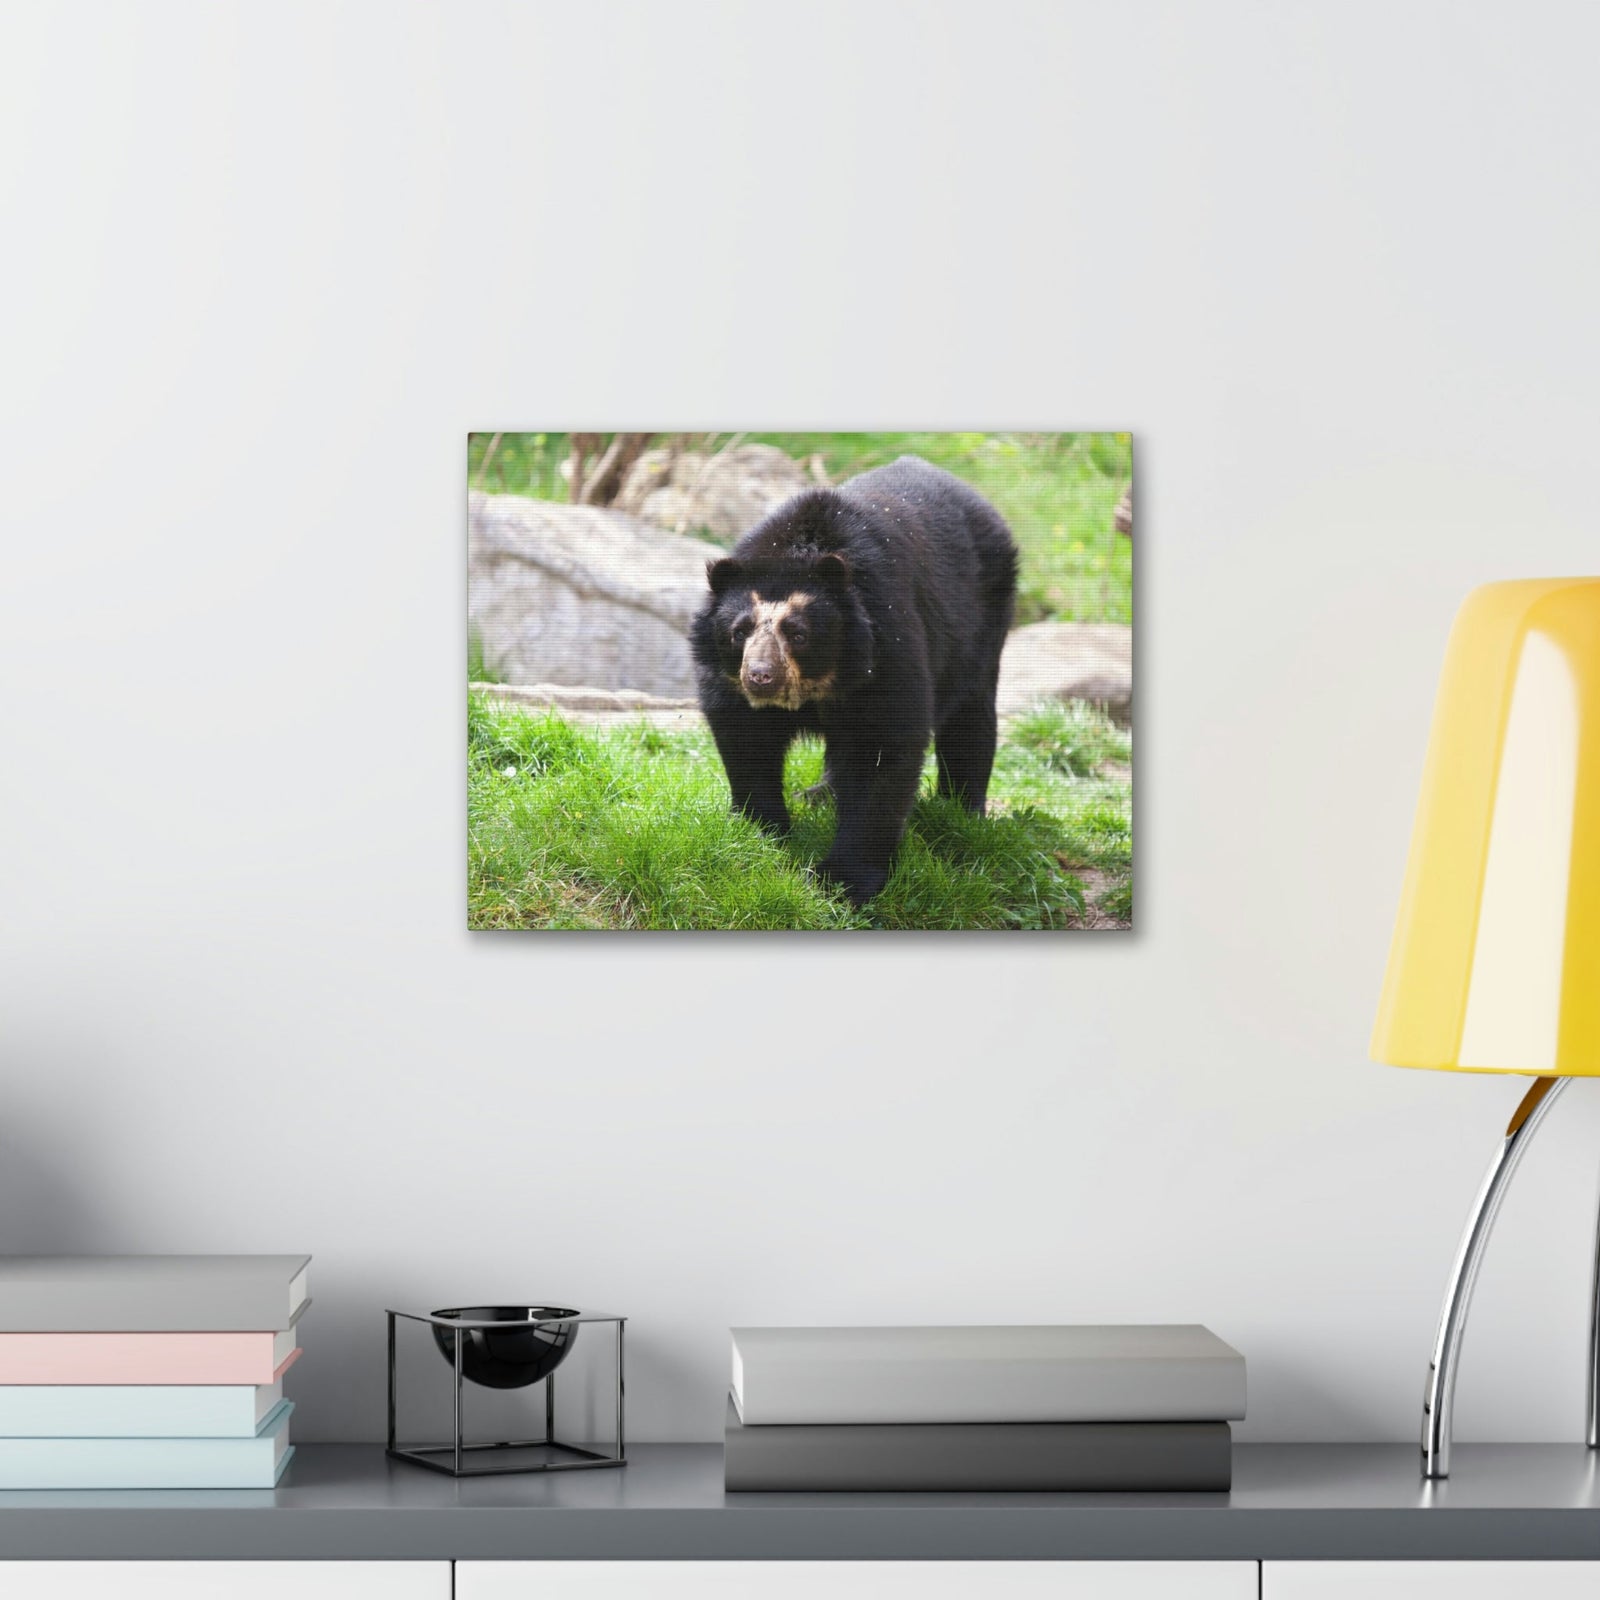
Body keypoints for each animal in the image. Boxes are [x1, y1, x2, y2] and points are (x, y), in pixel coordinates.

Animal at [689, 454, 1019, 906]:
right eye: (740, 631)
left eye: (798, 633)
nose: (760, 677)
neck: (819, 684)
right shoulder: (729, 683)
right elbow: (747, 739)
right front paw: (759, 830)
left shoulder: (885, 649)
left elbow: (882, 747)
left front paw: (843, 881)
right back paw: (818, 795)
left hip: (982, 621)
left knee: (970, 717)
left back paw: (962, 811)